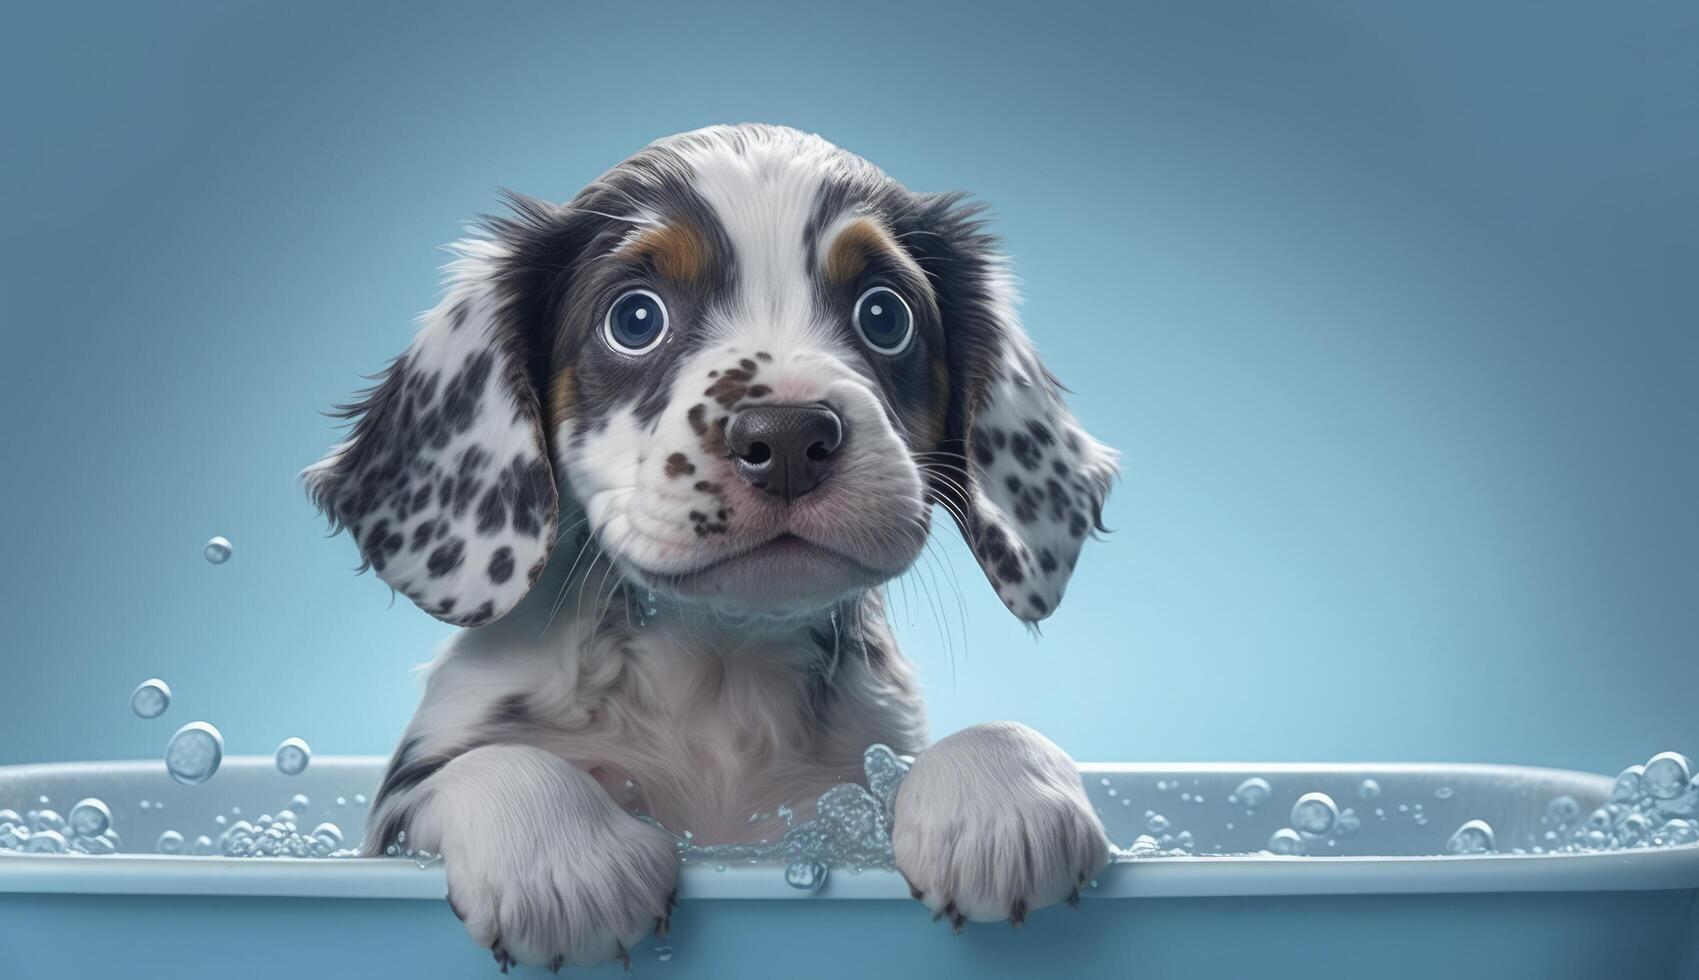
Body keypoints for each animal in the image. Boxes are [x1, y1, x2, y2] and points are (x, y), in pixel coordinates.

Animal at [305, 120, 1121, 964]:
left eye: (884, 315)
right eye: (635, 319)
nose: (787, 439)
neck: (721, 662)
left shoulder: (845, 795)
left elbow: (991, 735)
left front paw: (1004, 798)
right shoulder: (403, 807)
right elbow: (499, 766)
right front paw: (565, 866)